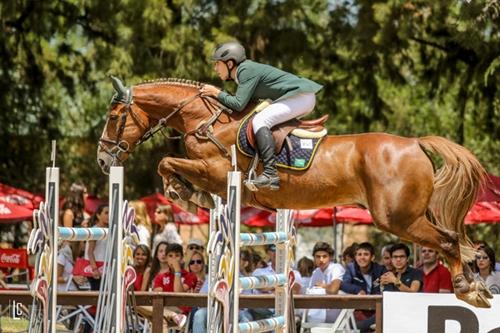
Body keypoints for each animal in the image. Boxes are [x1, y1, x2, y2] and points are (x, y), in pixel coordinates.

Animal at [97, 77, 492, 306]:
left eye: (115, 118)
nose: (103, 159)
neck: (204, 119)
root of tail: (414, 143)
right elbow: (169, 164)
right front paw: (188, 193)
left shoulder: (218, 172)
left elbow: (166, 162)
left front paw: (183, 192)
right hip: (408, 215)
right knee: (451, 237)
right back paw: (477, 286)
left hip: (396, 218)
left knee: (447, 241)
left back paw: (467, 288)